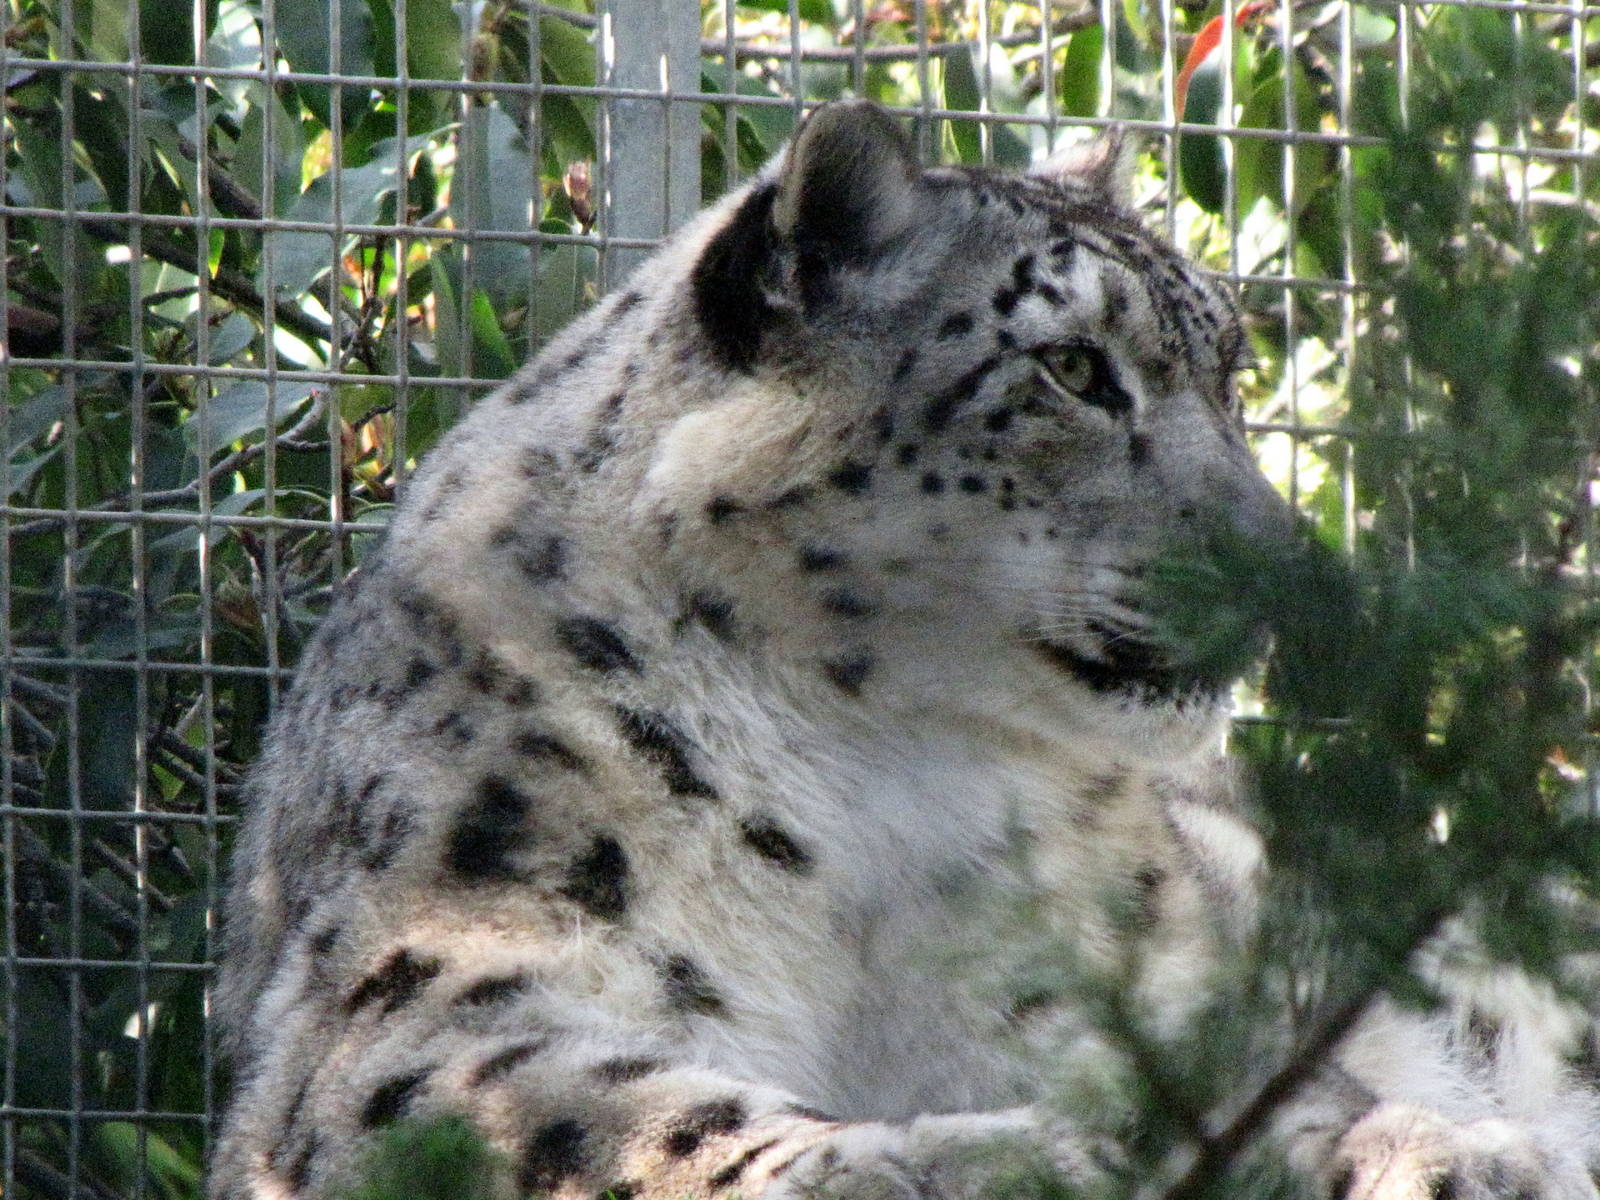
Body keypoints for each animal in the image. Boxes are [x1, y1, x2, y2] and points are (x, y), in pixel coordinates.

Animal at [210, 100, 1600, 1200]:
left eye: (1228, 368)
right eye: (1071, 366)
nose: (1294, 574)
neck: (881, 779)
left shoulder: (1129, 1014)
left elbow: (1280, 1104)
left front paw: (1439, 1155)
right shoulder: (437, 973)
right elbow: (609, 1110)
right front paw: (966, 1158)